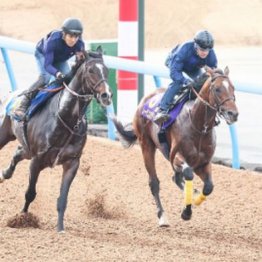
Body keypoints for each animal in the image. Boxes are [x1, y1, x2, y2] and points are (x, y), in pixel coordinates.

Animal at [0, 47, 112, 231]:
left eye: (107, 70)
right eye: (90, 70)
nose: (106, 95)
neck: (66, 118)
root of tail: (10, 94)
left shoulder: (72, 162)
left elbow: (63, 199)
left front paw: (60, 228)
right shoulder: (37, 159)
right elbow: (30, 193)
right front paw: (22, 218)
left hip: (27, 148)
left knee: (17, 153)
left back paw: (5, 173)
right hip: (6, 136)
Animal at [111, 66, 238, 226]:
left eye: (233, 87)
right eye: (217, 89)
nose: (233, 113)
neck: (197, 125)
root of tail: (145, 100)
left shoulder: (203, 163)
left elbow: (208, 187)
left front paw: (193, 200)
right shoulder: (176, 157)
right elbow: (188, 174)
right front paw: (186, 212)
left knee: (176, 178)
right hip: (146, 145)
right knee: (154, 182)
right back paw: (162, 216)